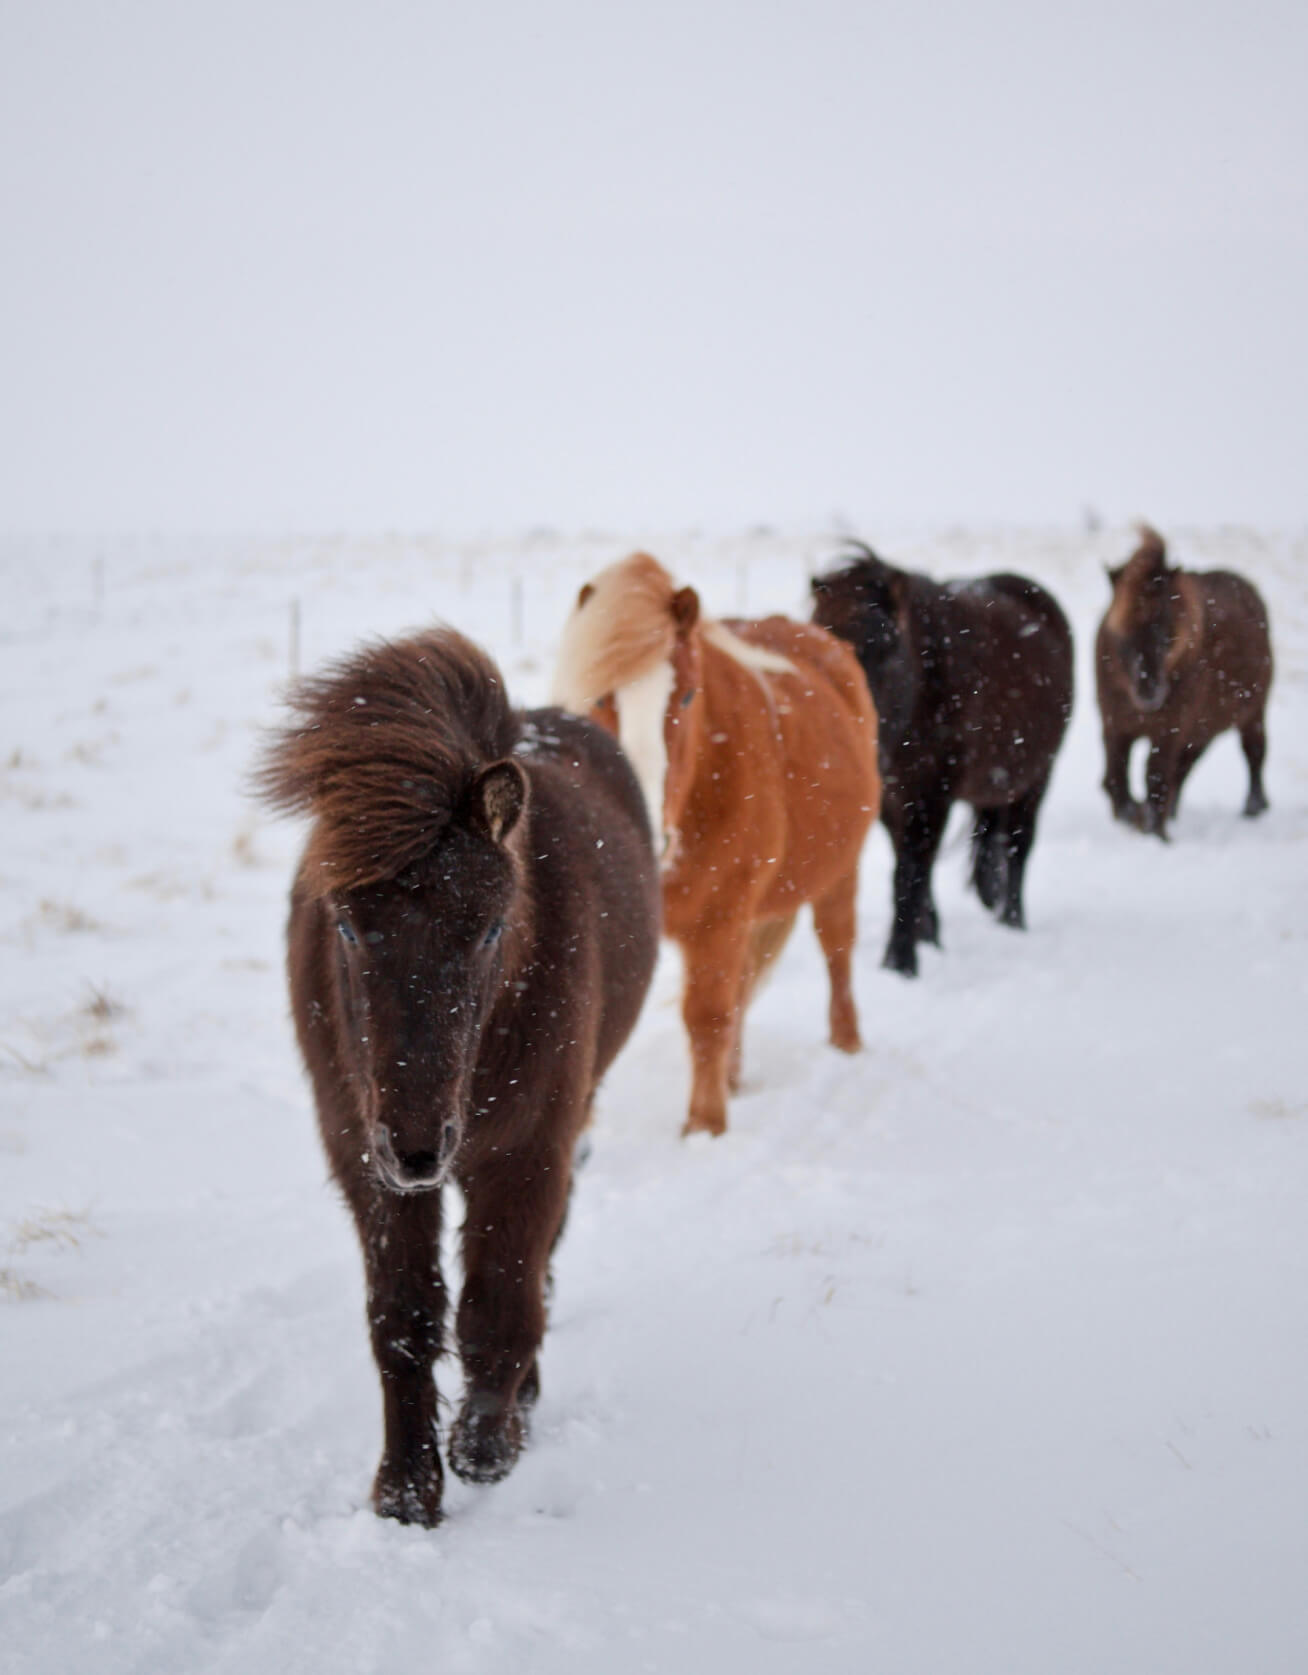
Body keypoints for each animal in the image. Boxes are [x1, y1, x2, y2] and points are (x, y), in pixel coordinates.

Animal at [256, 626, 659, 1527]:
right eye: (345, 924)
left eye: (491, 929)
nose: (414, 1146)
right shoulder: (362, 1158)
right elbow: (402, 1317)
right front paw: (406, 1490)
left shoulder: (528, 1151)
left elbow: (499, 1299)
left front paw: (486, 1445)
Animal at [552, 552, 881, 1139]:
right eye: (603, 698)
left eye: (685, 695)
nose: (649, 833)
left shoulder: (718, 919)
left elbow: (706, 1017)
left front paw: (704, 1127)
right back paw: (735, 1077)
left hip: (838, 873)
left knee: (836, 951)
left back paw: (845, 1044)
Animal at [811, 543, 1073, 977]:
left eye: (885, 646)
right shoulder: (893, 799)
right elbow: (910, 865)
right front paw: (927, 937)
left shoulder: (932, 793)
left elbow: (911, 872)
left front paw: (900, 962)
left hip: (1037, 778)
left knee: (1019, 847)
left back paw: (1013, 921)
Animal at [1095, 526, 1273, 839]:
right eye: (1118, 631)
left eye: (1167, 629)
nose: (1149, 694)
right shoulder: (1115, 724)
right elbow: (1117, 776)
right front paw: (1134, 816)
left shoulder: (1168, 730)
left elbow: (1155, 776)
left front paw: (1154, 831)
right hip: (1203, 728)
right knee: (1184, 768)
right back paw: (1173, 812)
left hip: (1252, 712)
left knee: (1254, 752)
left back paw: (1253, 808)